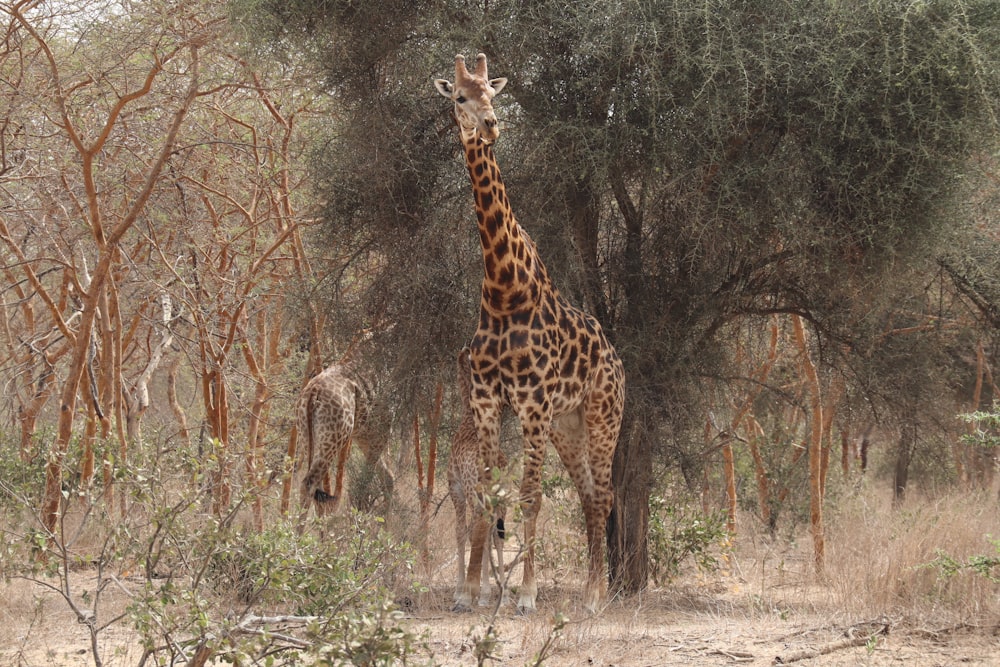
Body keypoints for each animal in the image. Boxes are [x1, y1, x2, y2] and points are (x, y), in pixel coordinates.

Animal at [436, 54, 624, 612]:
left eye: (492, 92)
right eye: (459, 96)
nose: (491, 124)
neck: (503, 290)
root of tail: (618, 361)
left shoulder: (532, 404)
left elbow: (530, 496)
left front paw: (526, 595)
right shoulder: (487, 400)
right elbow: (489, 492)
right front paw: (472, 592)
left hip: (603, 416)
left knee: (605, 495)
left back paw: (593, 595)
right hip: (569, 425)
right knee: (588, 494)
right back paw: (591, 590)